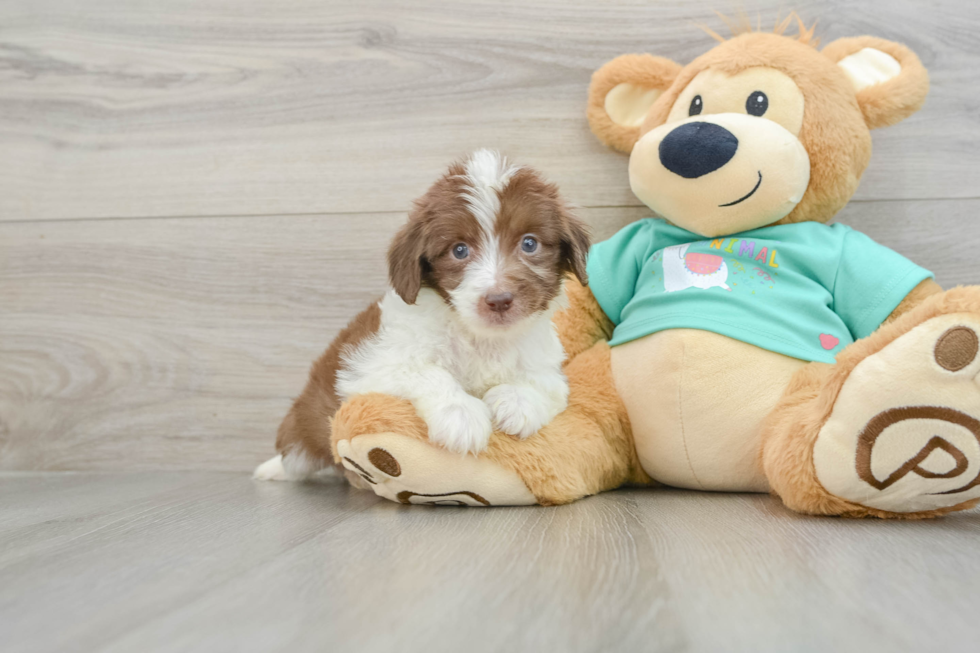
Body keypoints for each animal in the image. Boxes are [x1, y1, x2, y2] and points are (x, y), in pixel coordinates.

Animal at [255, 150, 588, 482]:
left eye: (529, 243)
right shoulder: (369, 368)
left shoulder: (545, 365)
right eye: (459, 250)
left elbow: (547, 385)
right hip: (306, 425)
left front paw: (517, 402)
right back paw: (270, 470)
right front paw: (461, 414)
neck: (481, 338)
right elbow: (427, 371)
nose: (499, 300)